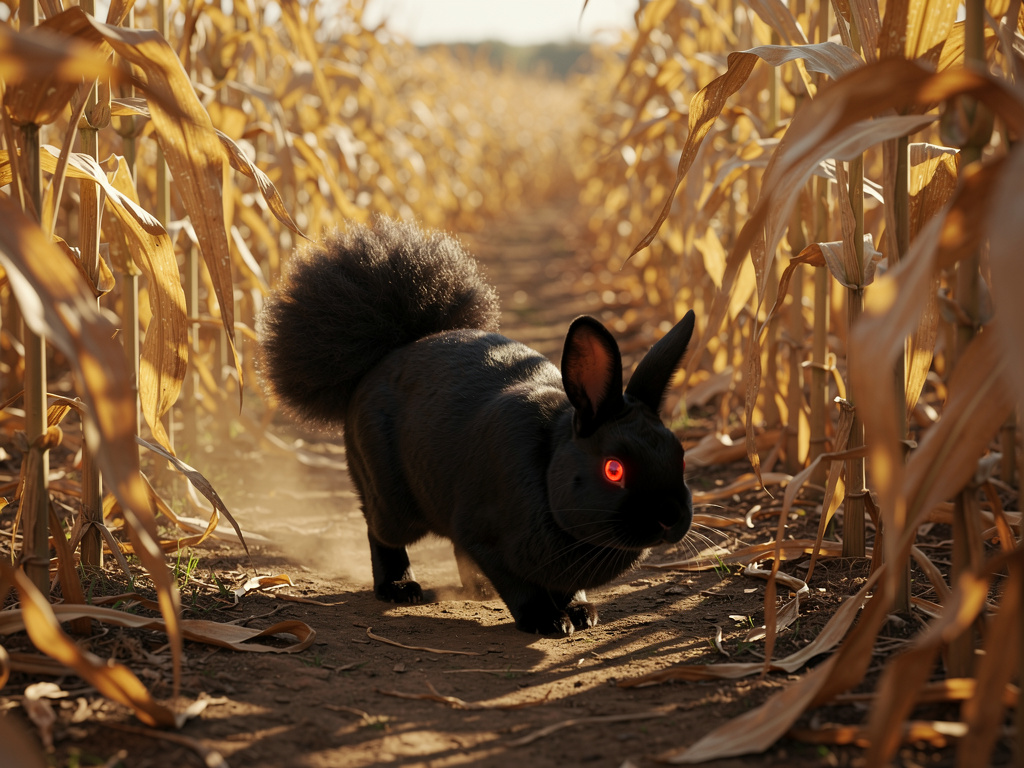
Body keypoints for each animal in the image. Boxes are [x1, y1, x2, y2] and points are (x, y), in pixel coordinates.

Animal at [257, 216, 696, 635]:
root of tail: (384, 355)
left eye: (681, 457)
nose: (670, 516)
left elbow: (565, 585)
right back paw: (400, 590)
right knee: (380, 534)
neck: (549, 465)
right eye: (613, 469)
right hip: (389, 500)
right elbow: (520, 587)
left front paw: (581, 613)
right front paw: (548, 622)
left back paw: (478, 590)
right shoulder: (486, 538)